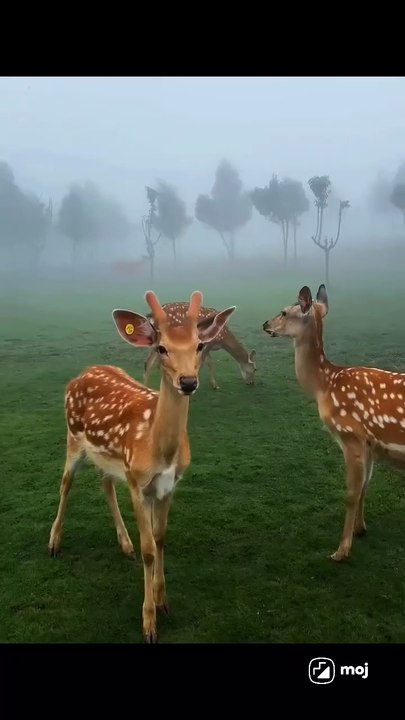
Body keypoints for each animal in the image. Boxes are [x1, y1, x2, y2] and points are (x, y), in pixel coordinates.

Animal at [48, 289, 236, 643]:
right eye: (161, 348)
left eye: (199, 346)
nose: (188, 381)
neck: (159, 450)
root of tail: (82, 373)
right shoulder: (138, 483)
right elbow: (149, 548)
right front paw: (149, 622)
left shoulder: (168, 486)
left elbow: (160, 539)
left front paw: (163, 601)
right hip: (73, 438)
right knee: (66, 482)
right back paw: (54, 542)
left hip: (107, 458)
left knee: (105, 482)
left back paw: (125, 544)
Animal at [262, 283, 405, 563]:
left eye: (284, 312)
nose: (265, 324)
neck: (325, 386)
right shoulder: (369, 443)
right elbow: (364, 487)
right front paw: (361, 529)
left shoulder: (350, 435)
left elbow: (351, 494)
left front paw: (341, 550)